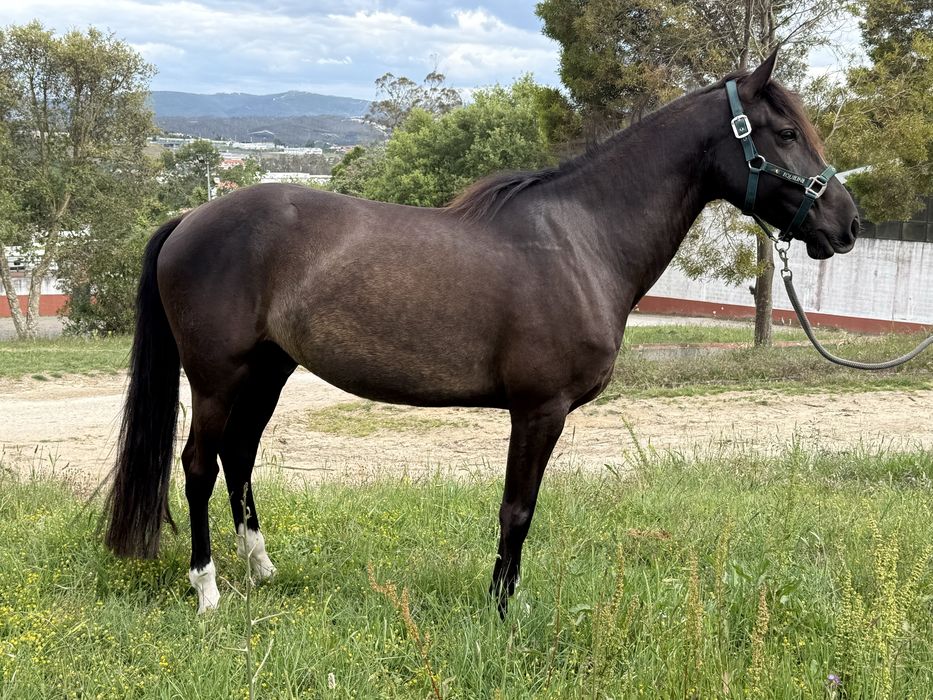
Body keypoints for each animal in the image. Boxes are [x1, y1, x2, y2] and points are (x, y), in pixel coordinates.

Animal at [105, 48, 860, 615]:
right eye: (785, 134)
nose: (847, 224)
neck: (581, 239)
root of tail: (190, 218)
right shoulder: (539, 410)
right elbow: (516, 510)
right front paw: (501, 610)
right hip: (217, 376)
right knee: (199, 466)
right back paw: (208, 592)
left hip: (267, 369)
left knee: (239, 457)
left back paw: (261, 569)